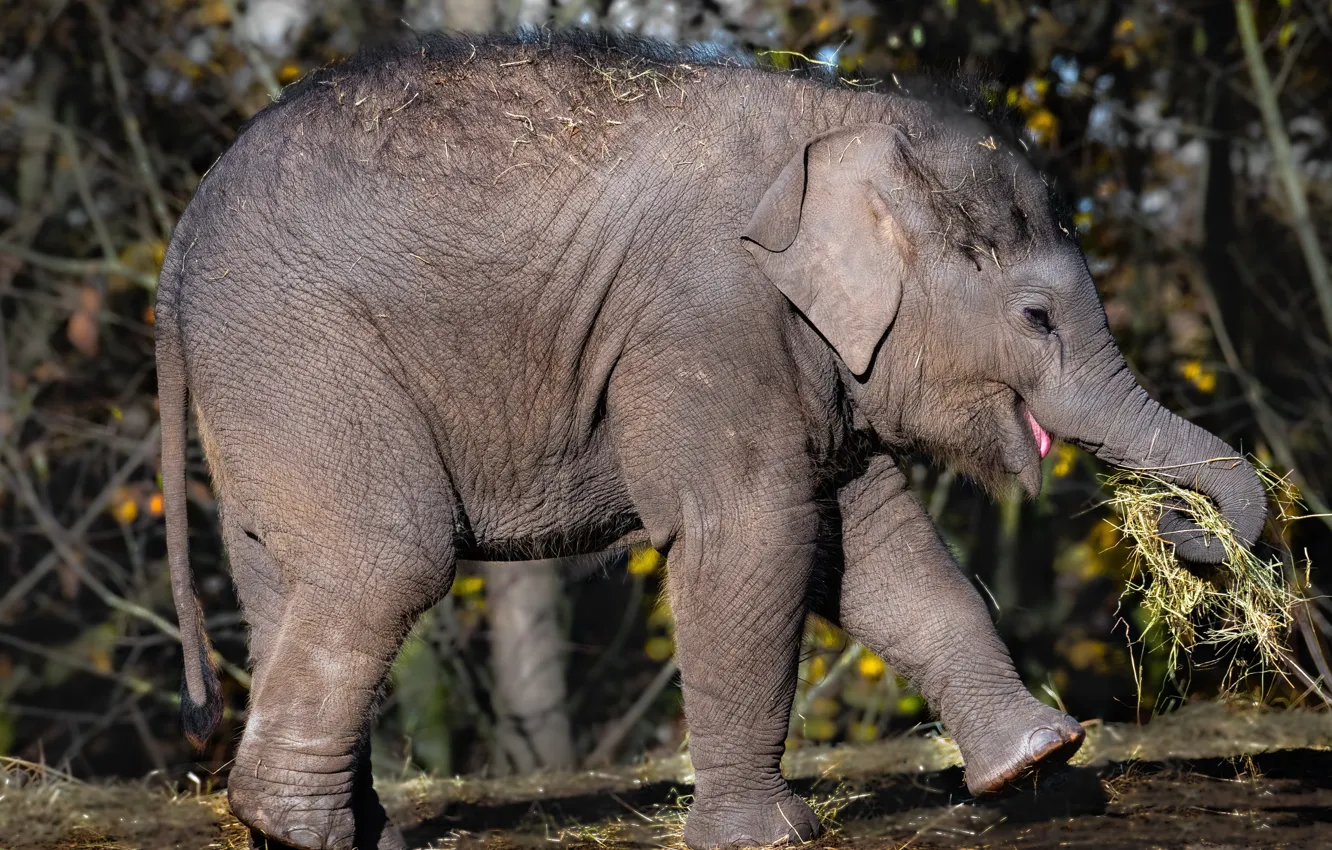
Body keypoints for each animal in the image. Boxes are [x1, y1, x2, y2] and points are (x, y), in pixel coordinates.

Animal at [155, 29, 1267, 850]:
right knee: (388, 560)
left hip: (267, 391)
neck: (838, 117)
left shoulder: (810, 355)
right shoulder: (707, 315)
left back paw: (348, 832)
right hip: (303, 351)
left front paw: (1038, 759)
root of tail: (177, 250)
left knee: (289, 579)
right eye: (1037, 317)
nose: (1189, 534)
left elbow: (875, 546)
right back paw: (297, 830)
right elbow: (752, 534)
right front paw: (768, 835)